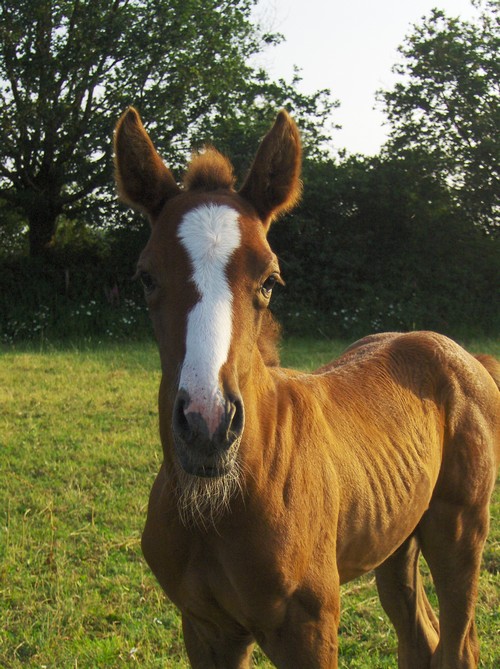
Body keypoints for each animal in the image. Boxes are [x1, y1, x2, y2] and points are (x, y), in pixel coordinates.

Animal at [115, 107, 498, 664]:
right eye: (146, 277)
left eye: (270, 280)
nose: (207, 426)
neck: (221, 504)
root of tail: (465, 356)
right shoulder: (205, 626)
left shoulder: (309, 626)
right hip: (395, 535)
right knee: (419, 638)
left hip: (460, 528)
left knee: (456, 645)